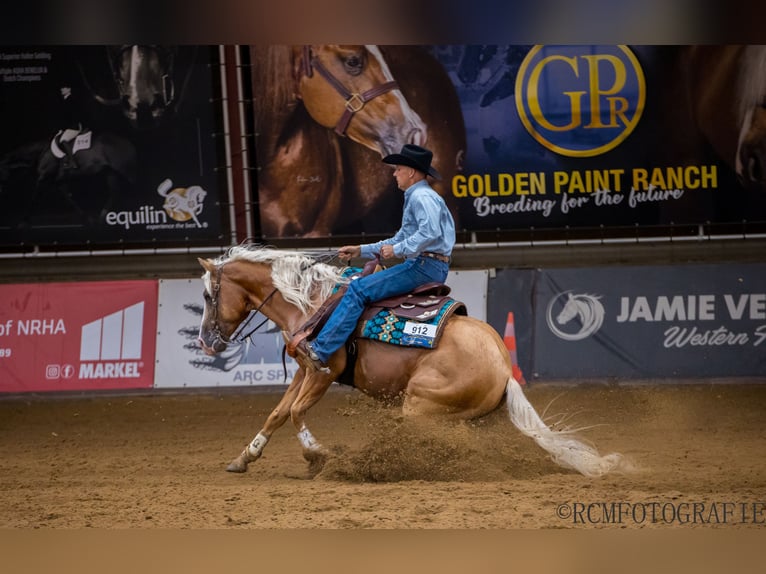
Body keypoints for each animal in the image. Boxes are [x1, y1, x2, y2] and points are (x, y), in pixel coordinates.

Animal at [196, 245, 624, 480]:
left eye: (208, 296)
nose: (203, 342)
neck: (310, 301)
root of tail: (505, 369)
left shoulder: (323, 370)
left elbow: (298, 412)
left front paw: (317, 455)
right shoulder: (303, 368)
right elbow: (279, 413)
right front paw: (244, 457)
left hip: (420, 403)